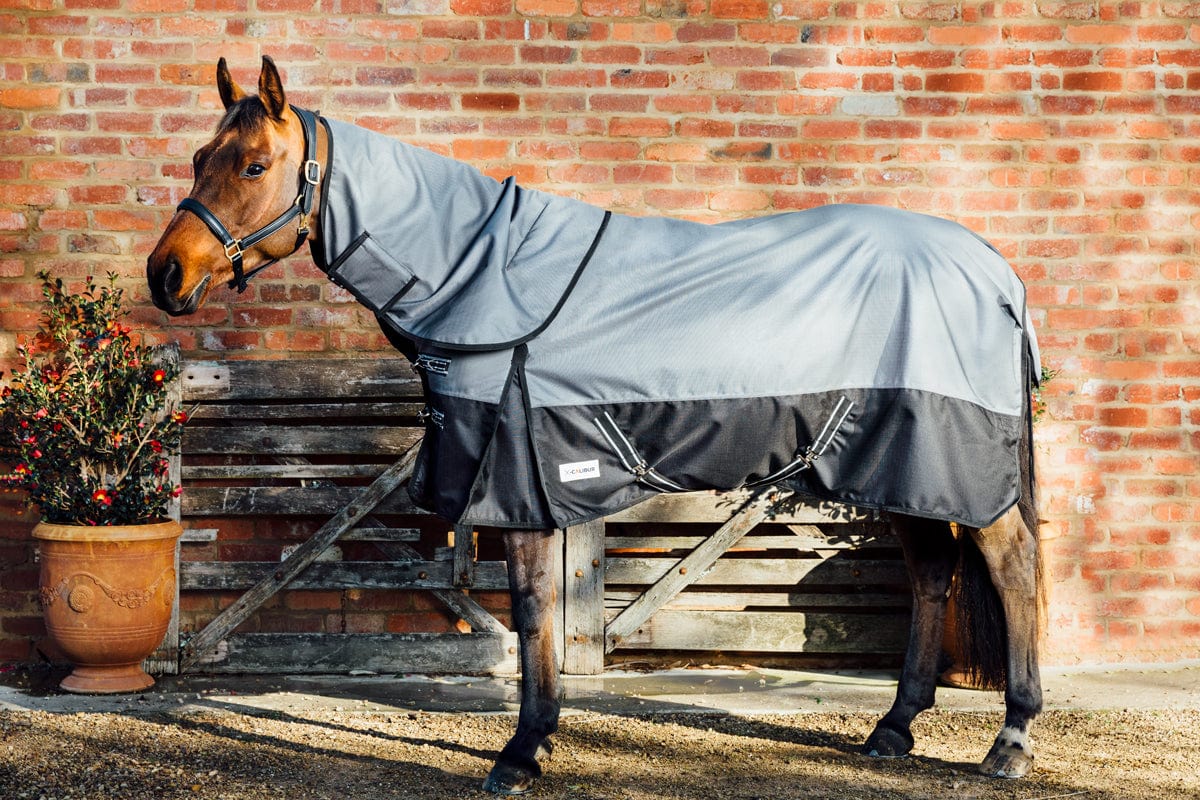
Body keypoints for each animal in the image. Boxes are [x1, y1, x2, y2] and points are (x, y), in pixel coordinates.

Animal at [147, 56, 1044, 794]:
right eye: (198, 160)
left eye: (254, 165)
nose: (166, 274)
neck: (482, 276)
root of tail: (995, 272)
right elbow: (535, 610)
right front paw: (536, 741)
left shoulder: (516, 483)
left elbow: (531, 609)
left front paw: (520, 752)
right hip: (896, 464)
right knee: (932, 573)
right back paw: (893, 729)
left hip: (946, 463)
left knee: (1013, 566)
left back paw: (1010, 739)